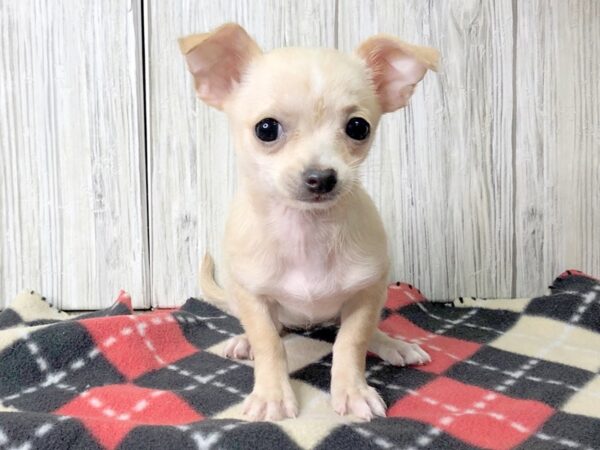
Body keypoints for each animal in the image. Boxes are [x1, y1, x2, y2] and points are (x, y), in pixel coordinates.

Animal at [178, 22, 436, 420]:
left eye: (358, 127)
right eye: (266, 129)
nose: (321, 177)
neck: (306, 232)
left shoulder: (367, 293)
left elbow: (351, 342)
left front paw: (353, 390)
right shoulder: (251, 296)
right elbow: (268, 343)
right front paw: (271, 394)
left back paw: (393, 344)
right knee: (272, 329)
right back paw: (243, 342)